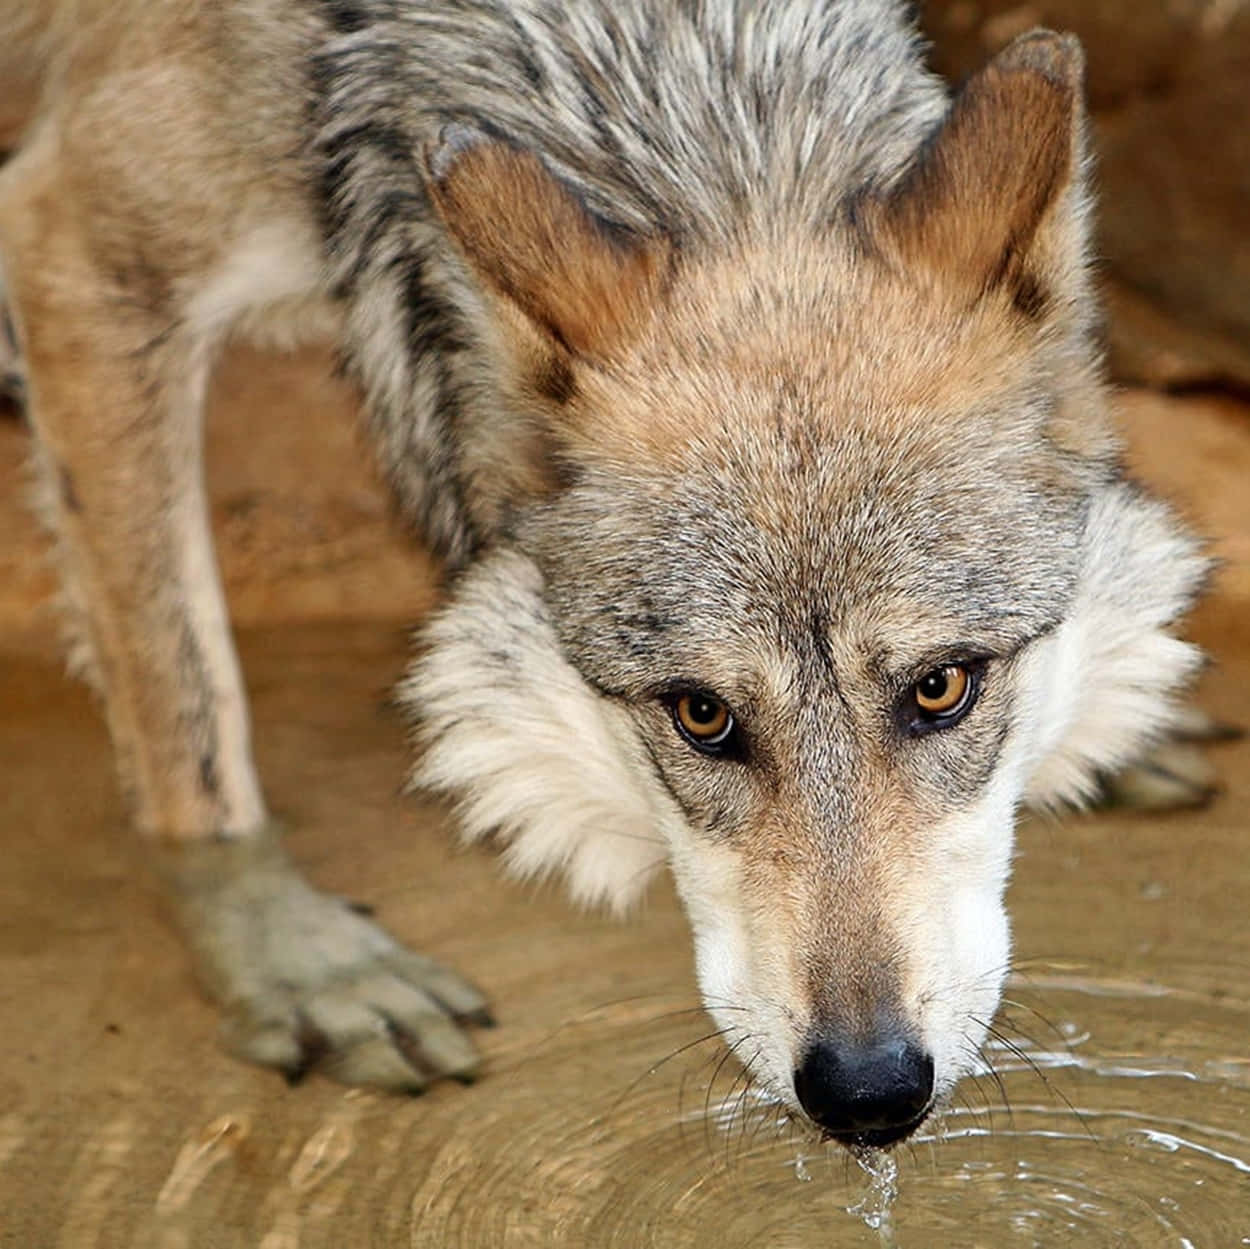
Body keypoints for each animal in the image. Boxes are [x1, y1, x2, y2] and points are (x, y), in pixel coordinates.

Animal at [0, 2, 1215, 1150]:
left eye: (941, 686)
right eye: (700, 714)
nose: (866, 1089)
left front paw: (1118, 743)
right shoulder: (81, 260)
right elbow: (187, 714)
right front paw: (303, 967)